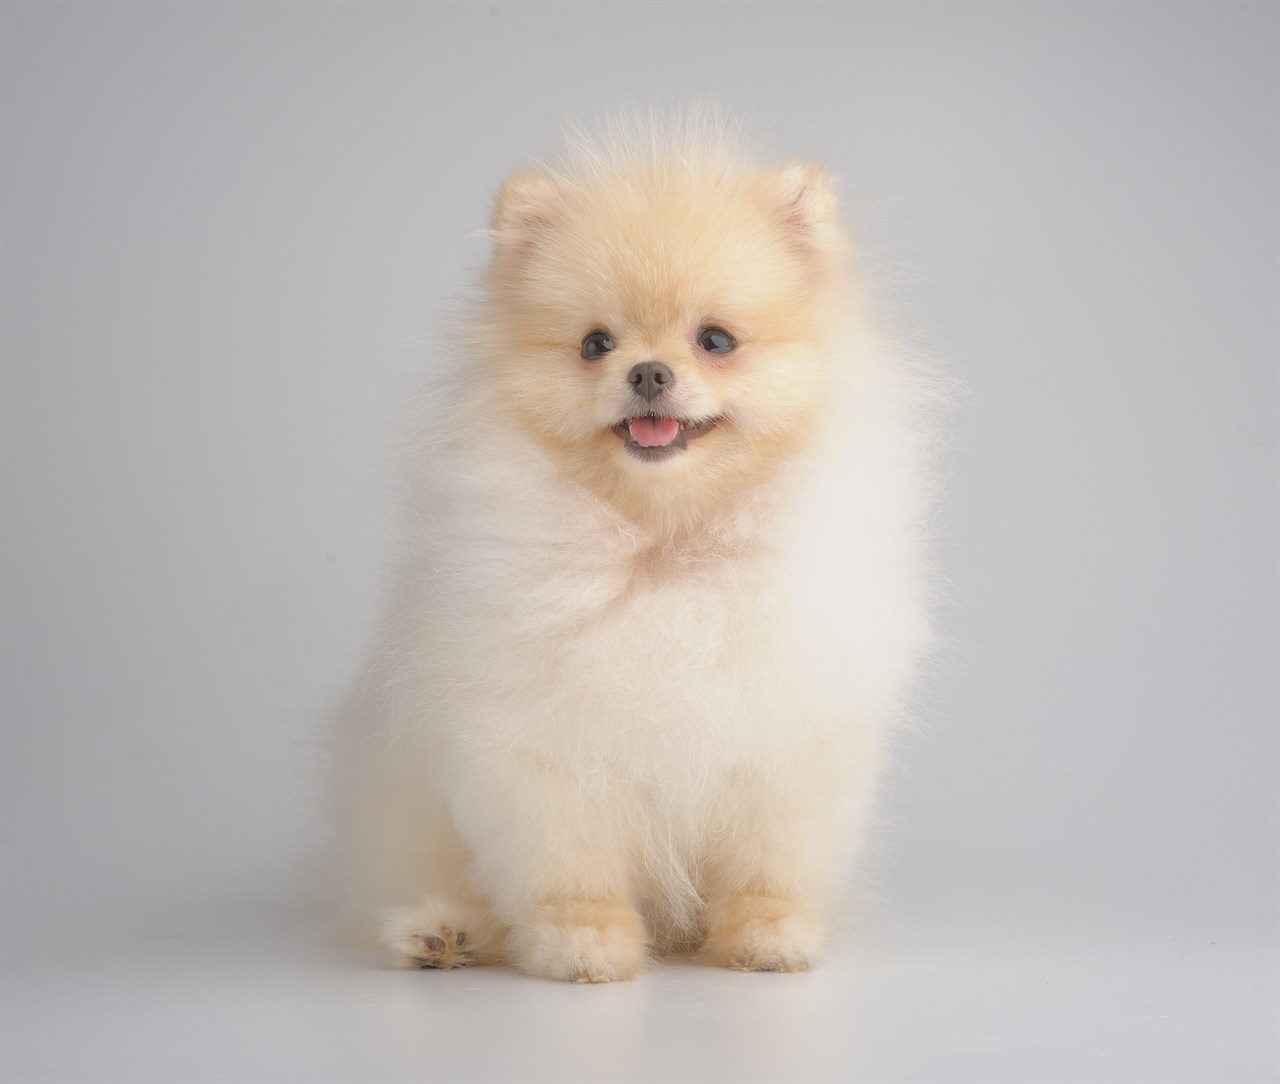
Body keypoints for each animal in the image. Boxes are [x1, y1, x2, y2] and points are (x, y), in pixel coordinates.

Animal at [337, 116, 942, 982]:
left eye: (715, 339)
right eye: (595, 343)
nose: (649, 372)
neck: (666, 544)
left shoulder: (785, 741)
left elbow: (768, 864)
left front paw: (768, 936)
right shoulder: (543, 750)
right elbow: (570, 867)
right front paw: (581, 943)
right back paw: (443, 933)